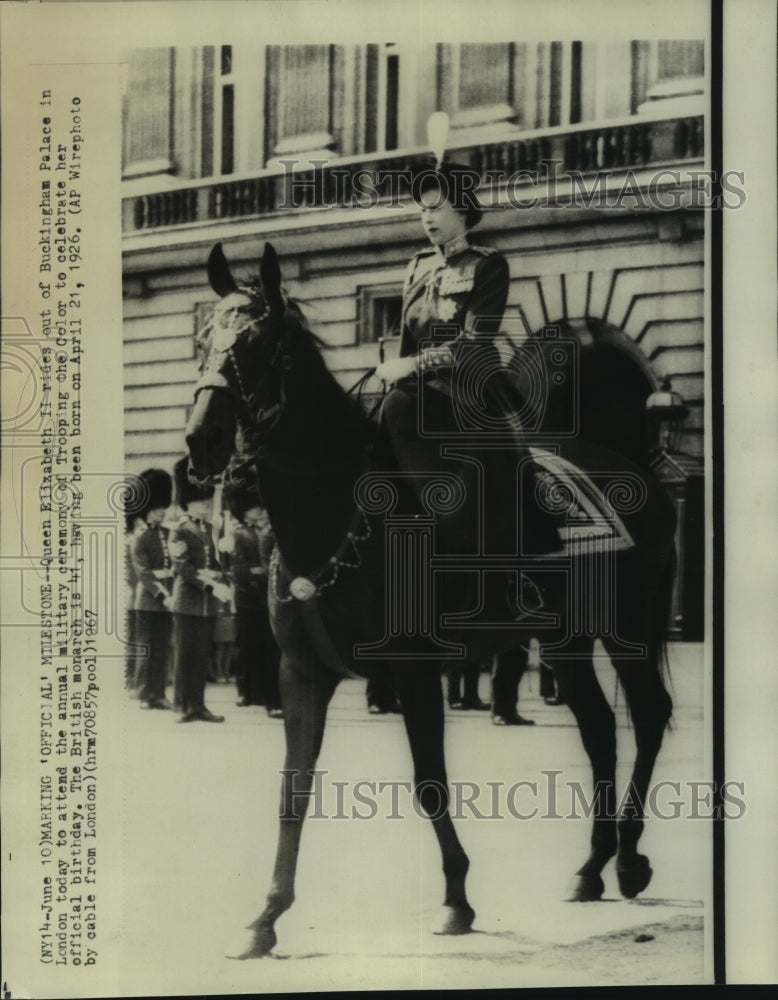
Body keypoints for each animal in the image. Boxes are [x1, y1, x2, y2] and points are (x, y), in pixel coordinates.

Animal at [186, 242, 672, 960]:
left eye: (258, 343)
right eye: (202, 340)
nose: (201, 442)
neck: (335, 516)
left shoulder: (415, 670)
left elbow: (430, 782)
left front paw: (457, 900)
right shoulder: (301, 672)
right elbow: (293, 788)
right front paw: (266, 916)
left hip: (628, 627)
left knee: (648, 714)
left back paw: (633, 859)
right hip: (566, 641)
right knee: (599, 729)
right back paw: (592, 867)